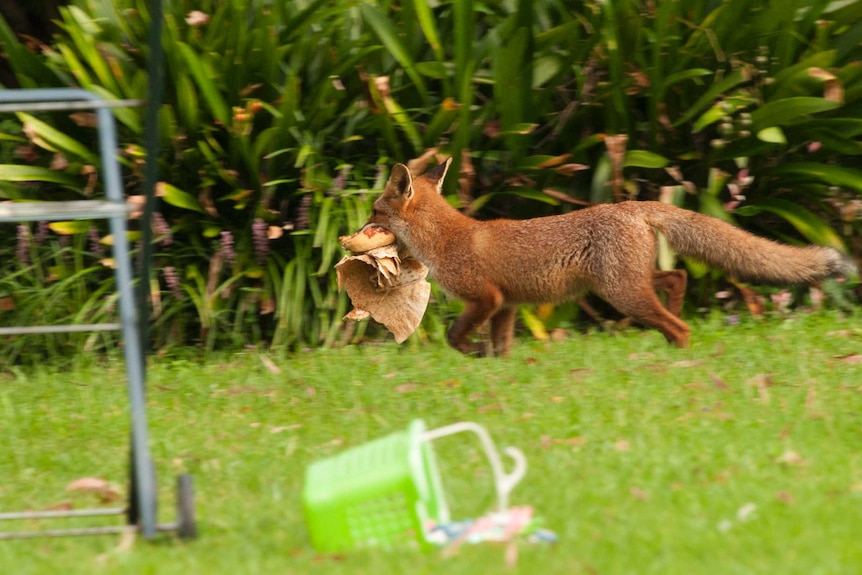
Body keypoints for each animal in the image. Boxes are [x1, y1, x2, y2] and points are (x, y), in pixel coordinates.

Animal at [368, 158, 860, 356]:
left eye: (374, 211)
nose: (357, 230)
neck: (447, 238)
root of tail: (631, 205)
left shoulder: (485, 299)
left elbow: (455, 336)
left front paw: (472, 353)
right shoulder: (507, 305)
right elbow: (501, 347)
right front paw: (494, 364)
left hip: (621, 292)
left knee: (678, 323)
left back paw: (679, 356)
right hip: (625, 283)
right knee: (677, 280)